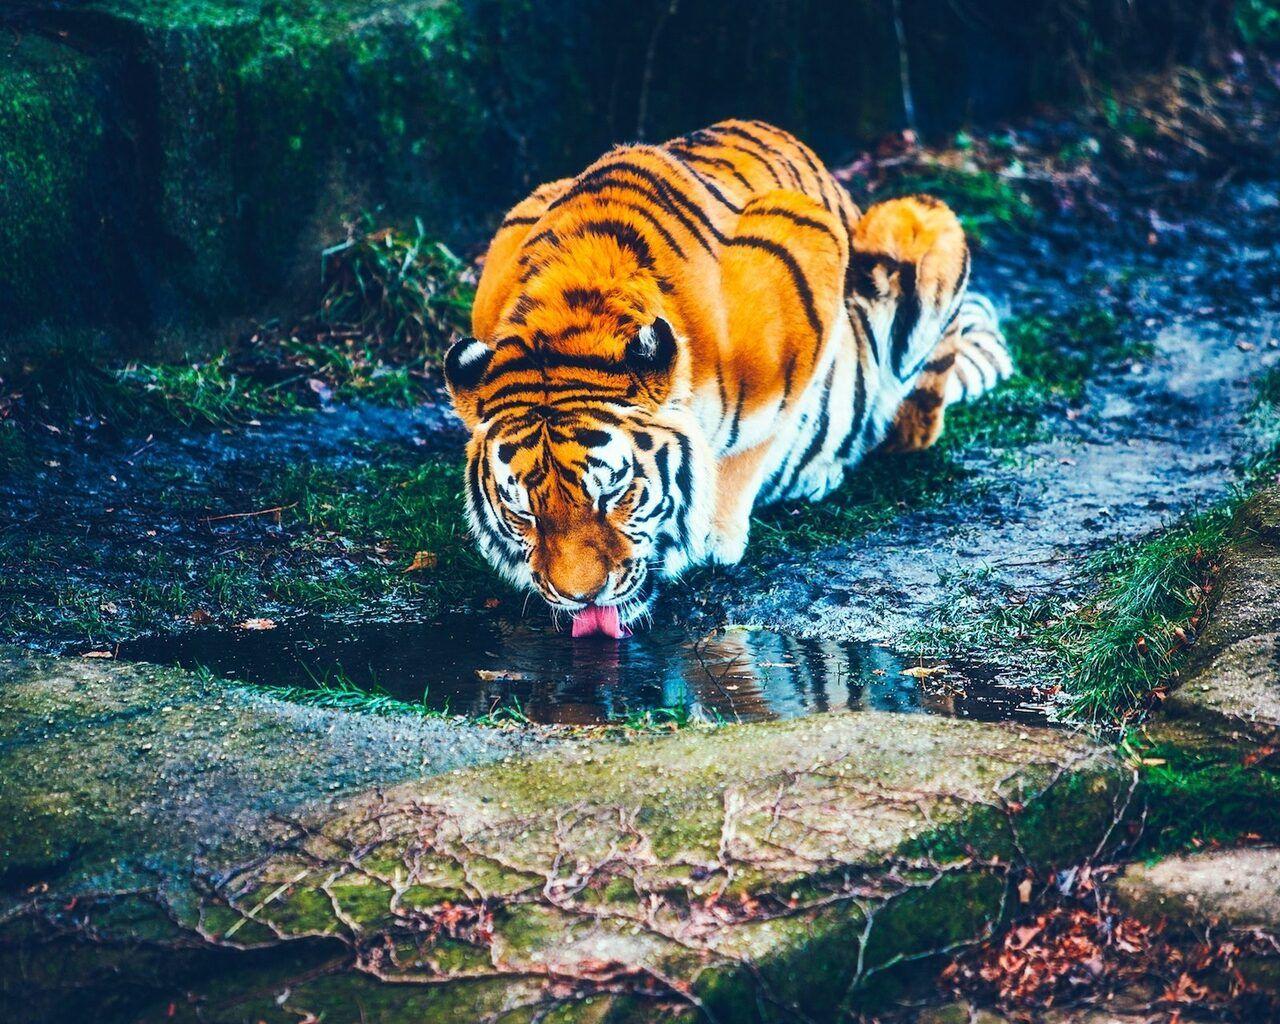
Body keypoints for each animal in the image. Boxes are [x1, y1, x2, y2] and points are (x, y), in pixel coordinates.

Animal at [444, 119, 1011, 638]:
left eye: (614, 495)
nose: (582, 596)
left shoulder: (809, 253)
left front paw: (715, 535)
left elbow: (756, 440)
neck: (572, 311)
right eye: (524, 513)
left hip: (916, 221)